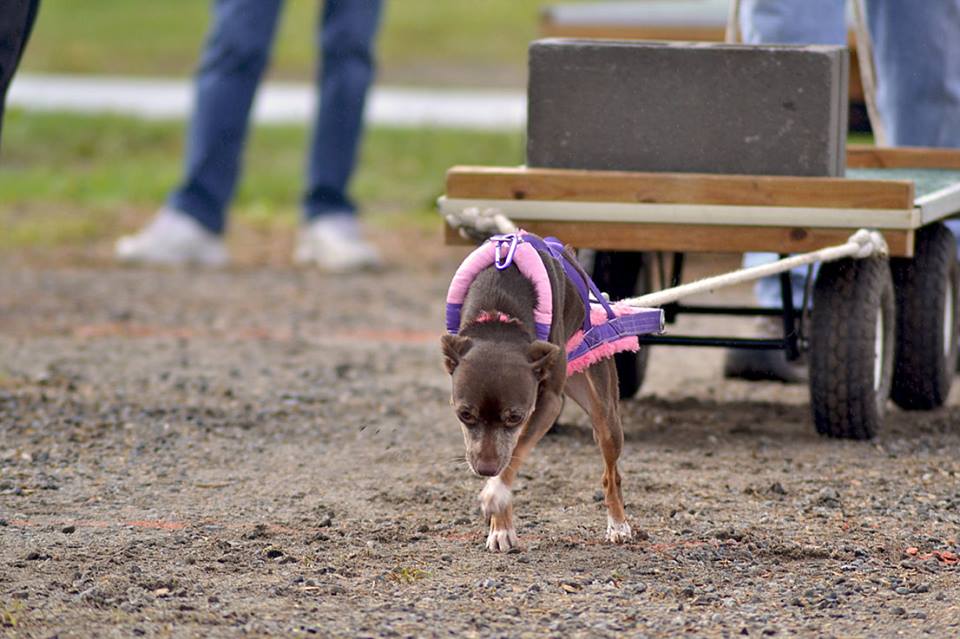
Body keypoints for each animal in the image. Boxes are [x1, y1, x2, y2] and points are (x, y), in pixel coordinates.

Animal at [440, 238, 632, 552]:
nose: (484, 469)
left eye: (515, 417)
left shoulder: (549, 403)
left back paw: (618, 525)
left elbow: (513, 457)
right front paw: (500, 527)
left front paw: (495, 496)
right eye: (464, 414)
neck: (499, 317)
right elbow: (508, 458)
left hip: (604, 413)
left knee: (610, 473)